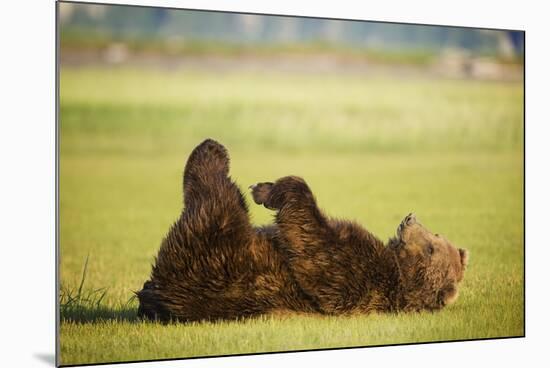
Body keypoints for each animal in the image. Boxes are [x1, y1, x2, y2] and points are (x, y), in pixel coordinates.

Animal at [137, 139, 470, 320]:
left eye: (431, 247)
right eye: (438, 237)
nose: (411, 219)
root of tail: (159, 296)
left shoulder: (358, 274)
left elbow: (314, 245)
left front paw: (269, 190)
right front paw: (266, 186)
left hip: (213, 258)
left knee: (214, 201)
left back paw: (212, 151)